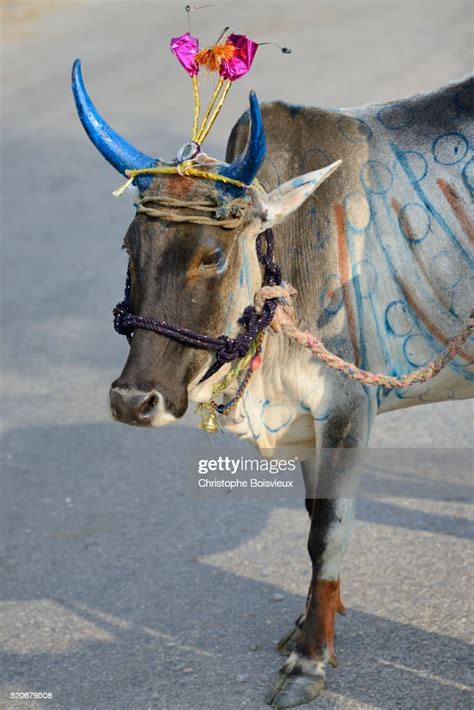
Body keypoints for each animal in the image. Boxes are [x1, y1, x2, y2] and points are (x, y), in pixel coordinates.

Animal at [72, 59, 472, 708]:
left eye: (212, 256)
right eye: (130, 246)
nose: (133, 401)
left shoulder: (348, 411)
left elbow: (328, 533)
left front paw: (308, 661)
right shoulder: (306, 425)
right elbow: (312, 524)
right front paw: (310, 626)